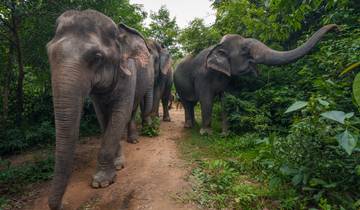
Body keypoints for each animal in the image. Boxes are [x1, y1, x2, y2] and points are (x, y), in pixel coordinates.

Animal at [46, 10, 152, 210]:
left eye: (97, 57)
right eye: (48, 52)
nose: (63, 205)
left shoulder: (129, 72)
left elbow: (120, 114)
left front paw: (101, 182)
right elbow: (103, 117)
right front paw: (117, 165)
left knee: (133, 108)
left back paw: (134, 140)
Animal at [174, 23, 338, 135]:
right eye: (245, 50)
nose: (337, 28)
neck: (218, 46)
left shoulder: (228, 78)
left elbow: (226, 99)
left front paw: (225, 134)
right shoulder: (202, 76)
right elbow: (206, 100)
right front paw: (206, 134)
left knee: (191, 103)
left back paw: (194, 125)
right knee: (187, 103)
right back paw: (190, 127)